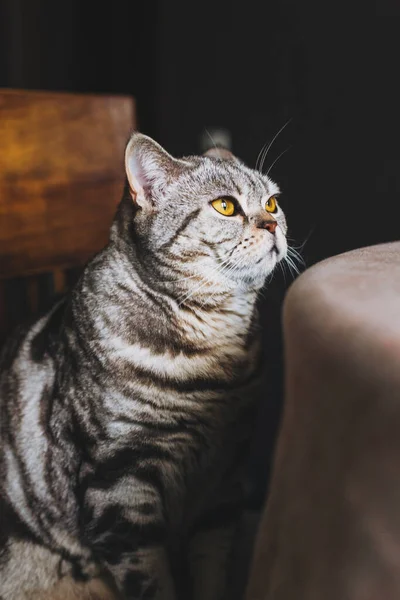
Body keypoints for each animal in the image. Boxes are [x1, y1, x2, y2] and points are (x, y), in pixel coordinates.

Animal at [0, 135, 288, 600]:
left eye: (273, 202)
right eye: (226, 206)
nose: (273, 225)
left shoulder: (225, 481)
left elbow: (212, 569)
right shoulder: (118, 488)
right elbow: (150, 581)